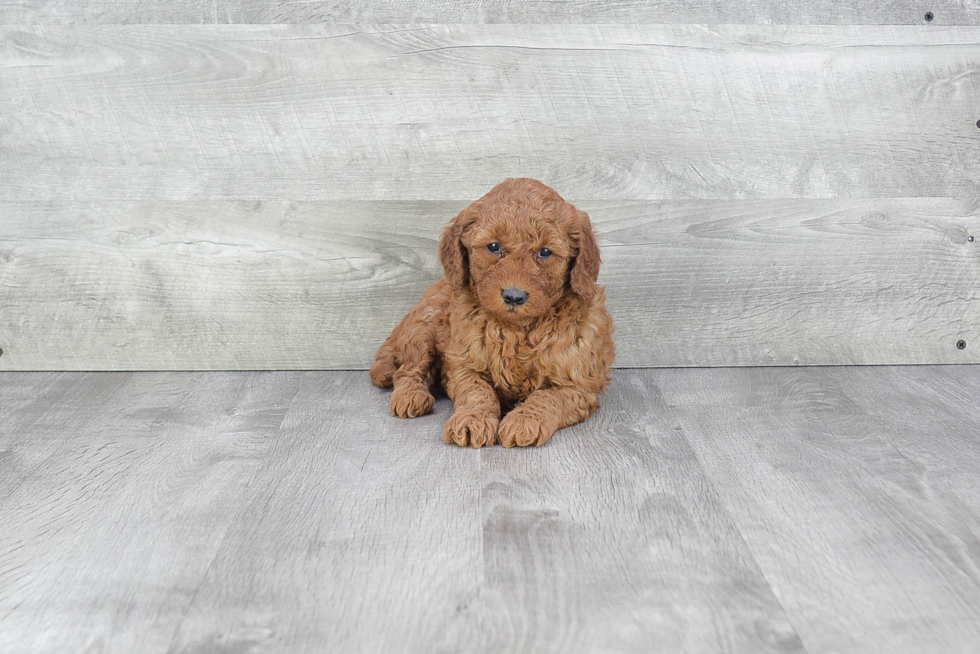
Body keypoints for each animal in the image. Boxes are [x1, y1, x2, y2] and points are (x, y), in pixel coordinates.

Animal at [368, 177, 612, 448]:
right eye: (494, 246)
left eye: (545, 252)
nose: (514, 296)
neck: (516, 329)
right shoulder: (463, 366)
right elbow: (477, 393)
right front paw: (472, 420)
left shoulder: (579, 384)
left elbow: (548, 398)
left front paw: (524, 420)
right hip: (422, 330)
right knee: (408, 370)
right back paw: (411, 396)